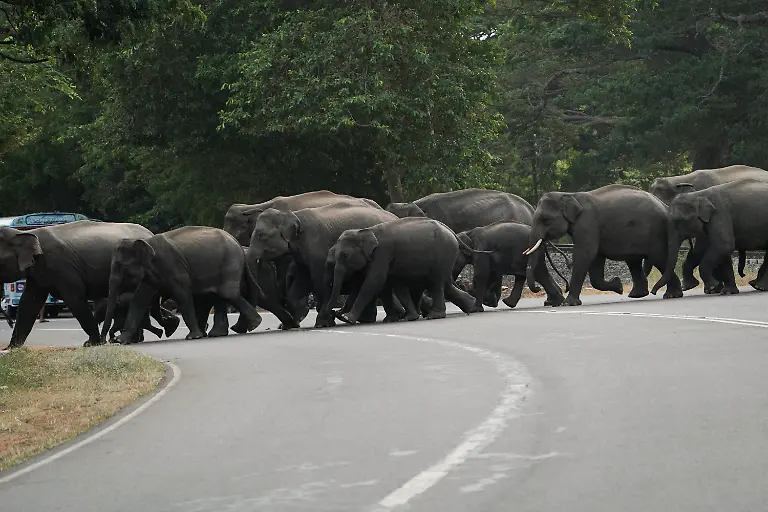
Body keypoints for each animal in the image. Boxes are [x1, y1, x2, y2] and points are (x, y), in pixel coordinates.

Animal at [0, 221, 178, 348]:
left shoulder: (62, 267)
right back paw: (164, 329)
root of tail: (151, 233)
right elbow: (29, 302)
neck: (26, 233)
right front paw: (12, 348)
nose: (105, 340)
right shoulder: (37, 274)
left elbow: (74, 298)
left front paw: (92, 343)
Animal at [114, 226, 296, 343]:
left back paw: (261, 325)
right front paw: (121, 341)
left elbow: (183, 294)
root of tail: (236, 242)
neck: (146, 241)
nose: (168, 326)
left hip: (231, 263)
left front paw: (194, 337)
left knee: (232, 294)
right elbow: (139, 299)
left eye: (121, 266)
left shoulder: (172, 265)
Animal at [247, 203, 399, 327]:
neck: (293, 214)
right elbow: (302, 281)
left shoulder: (317, 250)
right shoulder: (301, 256)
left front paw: (323, 322)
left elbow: (319, 281)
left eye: (260, 235)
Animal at [322, 217, 481, 324]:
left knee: (436, 283)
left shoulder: (383, 253)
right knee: (444, 283)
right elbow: (384, 285)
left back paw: (435, 315)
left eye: (345, 256)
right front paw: (390, 320)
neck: (366, 231)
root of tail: (452, 232)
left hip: (443, 254)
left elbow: (374, 281)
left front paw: (347, 319)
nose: (335, 313)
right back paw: (469, 307)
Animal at [524, 184, 684, 306]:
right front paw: (618, 286)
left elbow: (586, 254)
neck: (569, 195)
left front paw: (568, 304)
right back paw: (638, 295)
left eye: (546, 220)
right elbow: (596, 261)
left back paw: (672, 295)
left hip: (655, 233)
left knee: (659, 258)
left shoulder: (587, 224)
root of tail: (665, 206)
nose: (537, 288)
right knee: (634, 261)